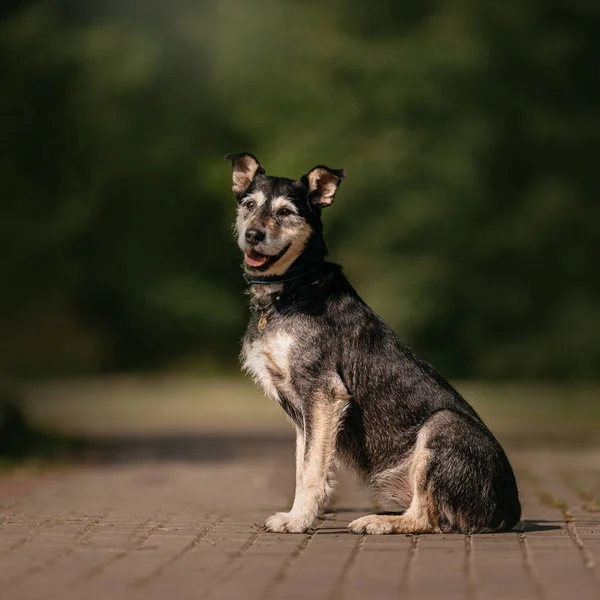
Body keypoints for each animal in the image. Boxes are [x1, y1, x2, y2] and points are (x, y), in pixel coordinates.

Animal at [224, 151, 520, 536]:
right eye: (248, 204)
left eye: (286, 211)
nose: (252, 235)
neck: (294, 288)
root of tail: (510, 511)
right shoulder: (305, 415)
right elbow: (306, 466)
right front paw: (300, 514)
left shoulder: (322, 394)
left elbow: (311, 472)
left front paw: (298, 520)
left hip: (442, 426)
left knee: (424, 518)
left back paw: (377, 521)